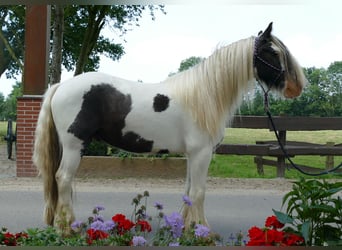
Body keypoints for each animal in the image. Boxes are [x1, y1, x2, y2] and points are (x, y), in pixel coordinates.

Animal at [32, 22, 308, 229]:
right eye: (273, 53)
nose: (296, 88)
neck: (206, 95)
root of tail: (61, 86)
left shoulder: (193, 155)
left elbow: (189, 191)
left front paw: (188, 227)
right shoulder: (201, 153)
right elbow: (199, 191)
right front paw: (201, 230)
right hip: (74, 145)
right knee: (63, 179)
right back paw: (67, 227)